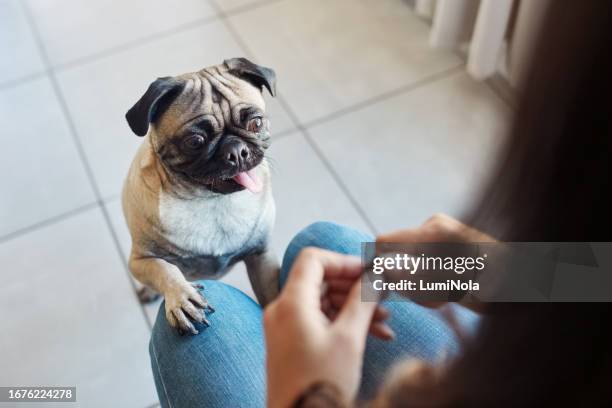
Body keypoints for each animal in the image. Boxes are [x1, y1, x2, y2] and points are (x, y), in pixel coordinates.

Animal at [122, 57, 280, 334]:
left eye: (256, 123)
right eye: (195, 141)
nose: (236, 150)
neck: (211, 201)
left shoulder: (262, 256)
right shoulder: (141, 260)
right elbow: (165, 269)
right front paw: (181, 296)